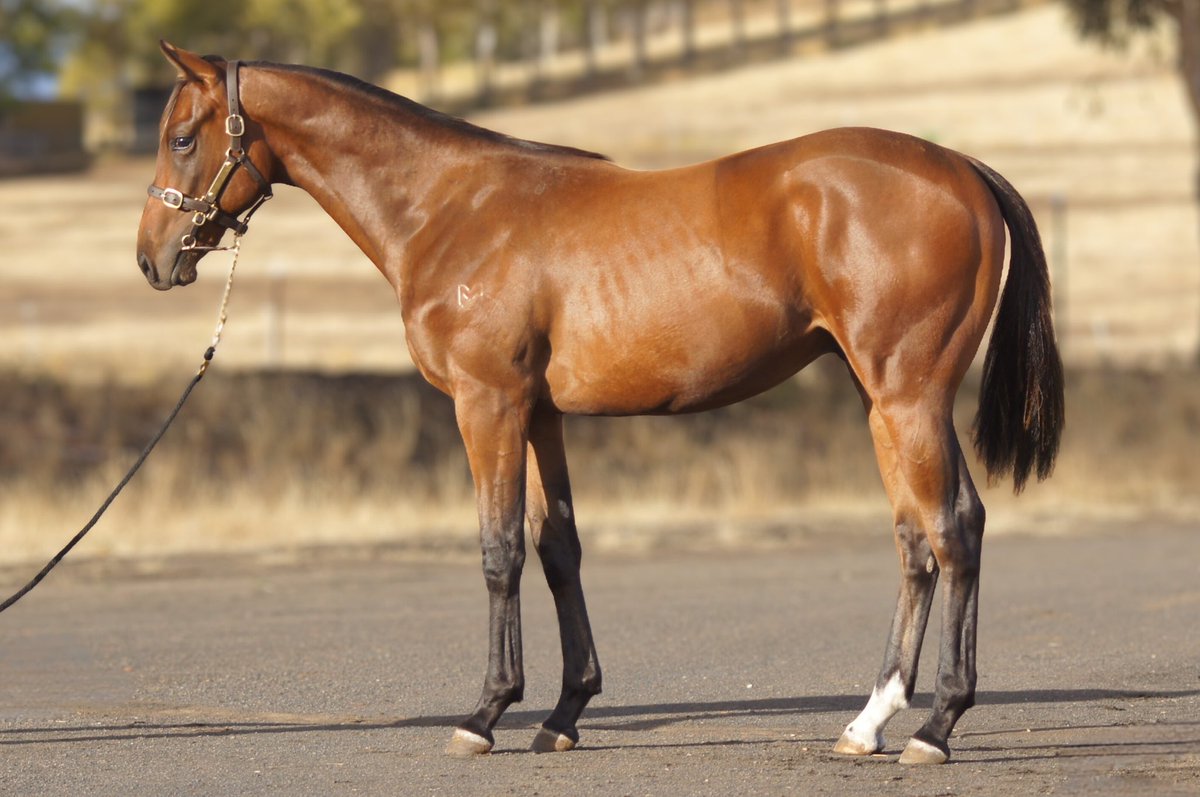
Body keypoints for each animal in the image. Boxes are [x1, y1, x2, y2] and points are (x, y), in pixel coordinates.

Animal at [136, 42, 1063, 765]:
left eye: (183, 137)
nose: (153, 258)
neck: (450, 206)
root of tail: (962, 170)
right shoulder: (539, 414)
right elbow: (559, 549)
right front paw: (565, 710)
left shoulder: (488, 405)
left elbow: (500, 551)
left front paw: (485, 713)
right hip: (886, 400)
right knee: (918, 539)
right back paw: (869, 722)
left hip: (907, 395)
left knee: (953, 530)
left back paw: (936, 726)